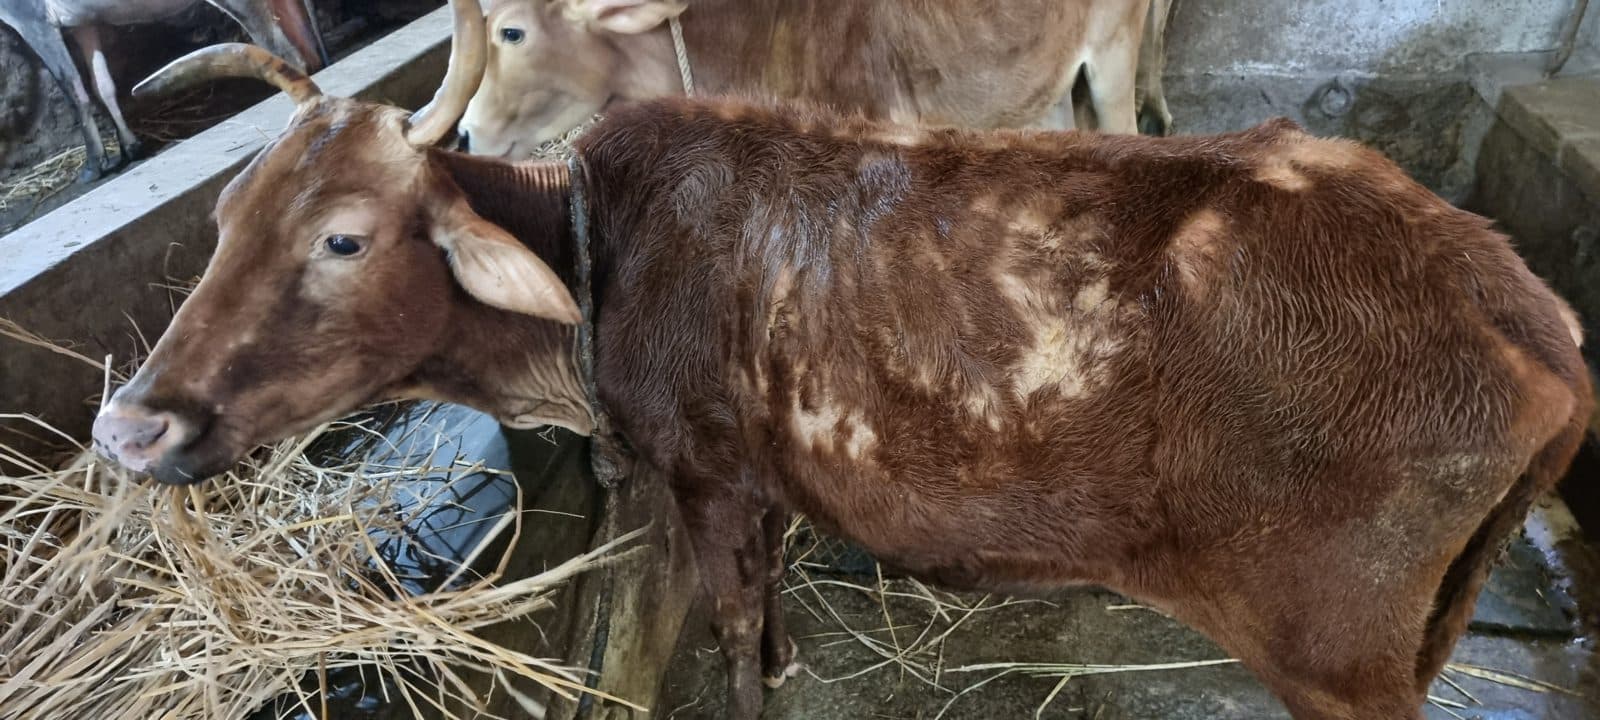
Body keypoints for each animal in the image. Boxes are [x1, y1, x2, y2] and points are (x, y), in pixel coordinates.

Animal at [0, 0, 326, 182]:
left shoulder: (32, 19)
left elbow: (74, 91)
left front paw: (93, 166)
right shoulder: (83, 23)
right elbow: (101, 85)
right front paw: (130, 146)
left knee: (282, 49)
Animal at [92, 1, 1592, 718]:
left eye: (344, 237)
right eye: (223, 220)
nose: (132, 426)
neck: (601, 253)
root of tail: (1529, 312)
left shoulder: (704, 480)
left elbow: (731, 630)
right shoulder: (757, 482)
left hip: (1338, 661)